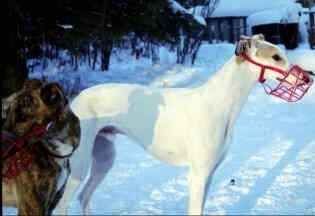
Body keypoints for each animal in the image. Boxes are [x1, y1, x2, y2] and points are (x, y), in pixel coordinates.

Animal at [55, 34, 314, 215]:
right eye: (276, 57)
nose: (307, 77)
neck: (219, 101)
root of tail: (75, 100)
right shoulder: (197, 175)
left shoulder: (209, 174)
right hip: (79, 166)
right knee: (62, 206)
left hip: (104, 158)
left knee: (84, 197)